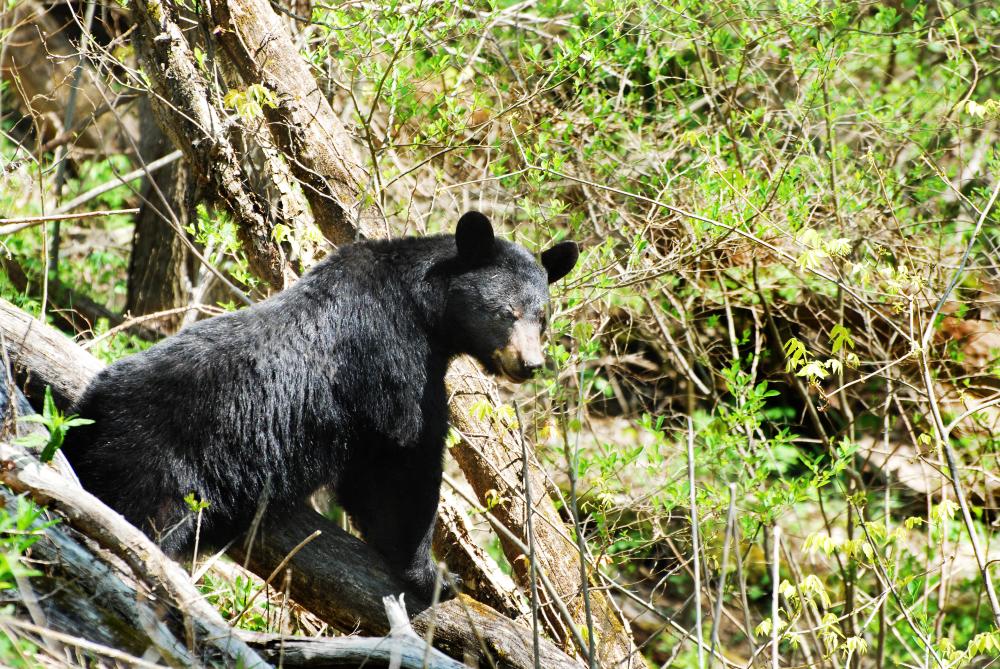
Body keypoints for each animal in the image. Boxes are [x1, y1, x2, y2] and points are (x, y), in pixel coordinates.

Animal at [60, 214, 580, 600]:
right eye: (507, 312)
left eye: (543, 317)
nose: (530, 364)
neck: (424, 311)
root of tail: (92, 410)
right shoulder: (390, 360)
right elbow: (401, 460)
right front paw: (433, 574)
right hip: (152, 465)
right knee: (137, 517)